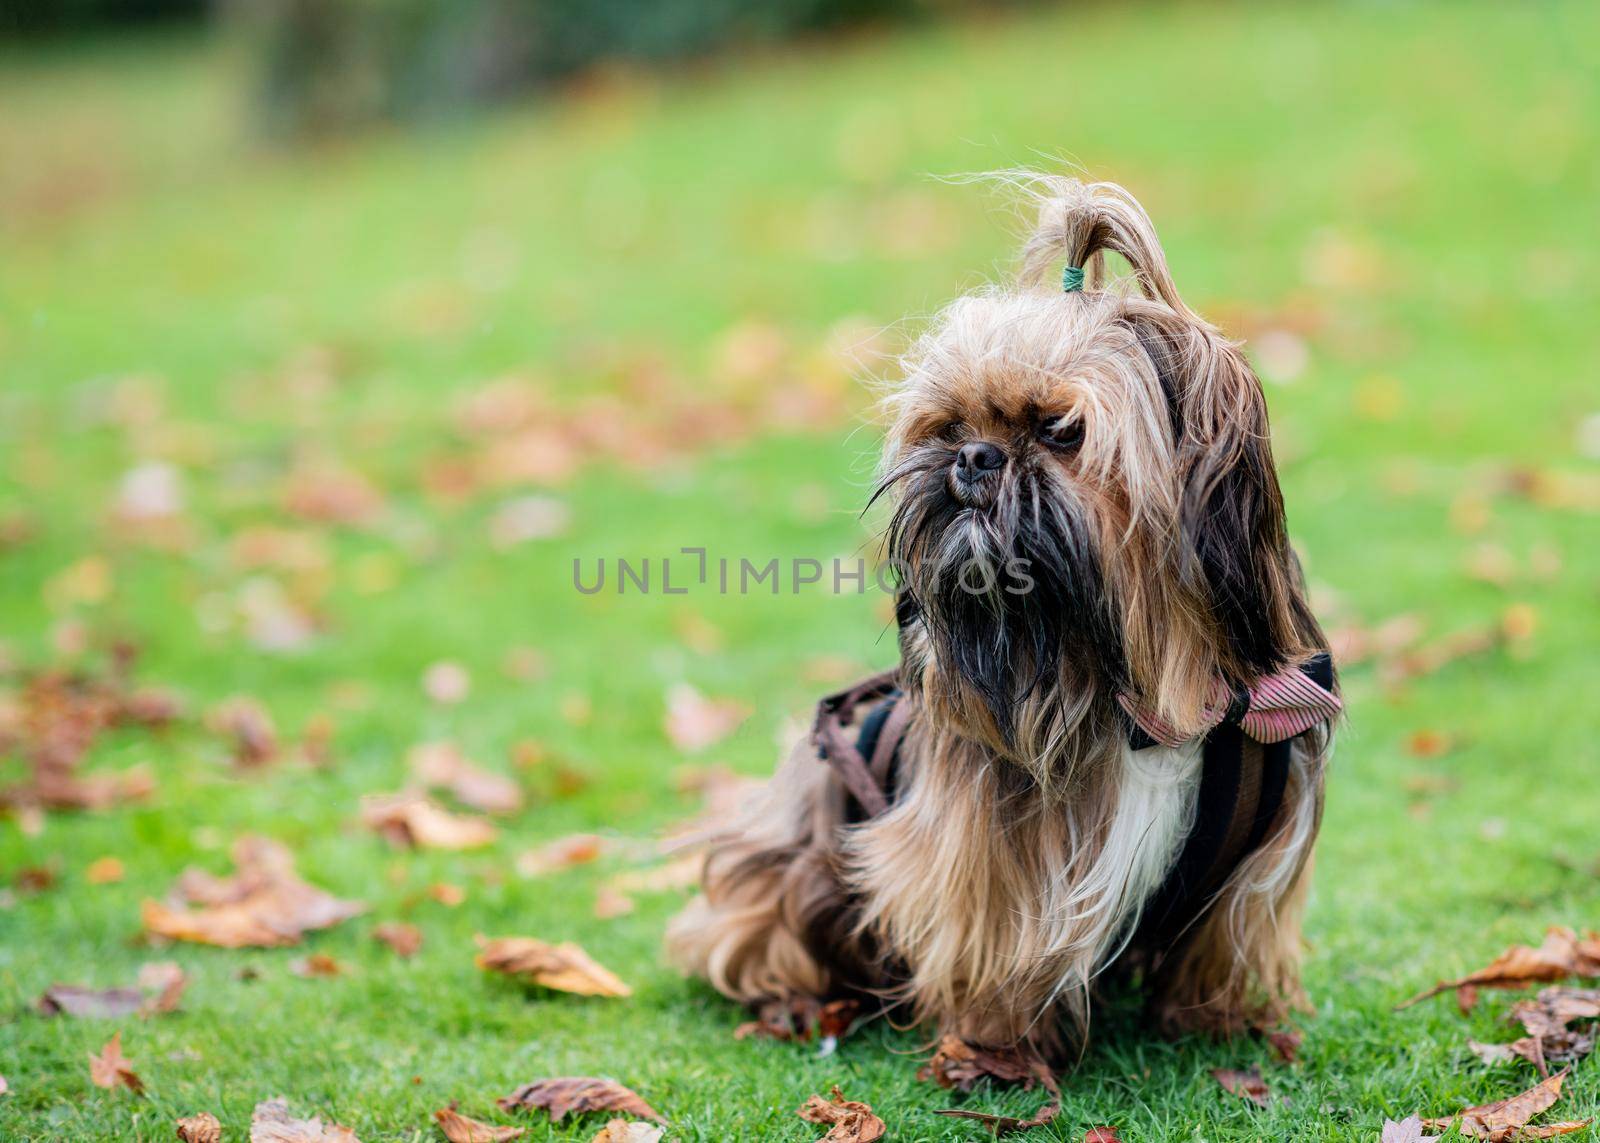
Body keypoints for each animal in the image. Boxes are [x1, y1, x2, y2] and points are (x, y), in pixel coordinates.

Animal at [668, 177, 1344, 1056]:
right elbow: (997, 940)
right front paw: (995, 1050)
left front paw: (1215, 1024)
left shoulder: (1253, 856)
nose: (971, 459)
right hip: (795, 863)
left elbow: (1219, 944)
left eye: (1059, 430)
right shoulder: (988, 850)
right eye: (951, 427)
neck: (1144, 689)